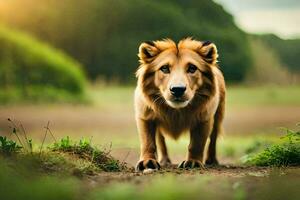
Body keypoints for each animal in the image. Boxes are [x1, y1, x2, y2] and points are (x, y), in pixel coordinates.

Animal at [134, 37, 225, 170]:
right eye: (164, 68)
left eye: (192, 68)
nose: (177, 89)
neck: (176, 112)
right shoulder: (145, 116)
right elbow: (148, 142)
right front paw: (147, 162)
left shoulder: (204, 118)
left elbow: (197, 144)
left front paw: (193, 162)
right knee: (160, 139)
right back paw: (164, 160)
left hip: (218, 116)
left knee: (213, 138)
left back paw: (211, 160)